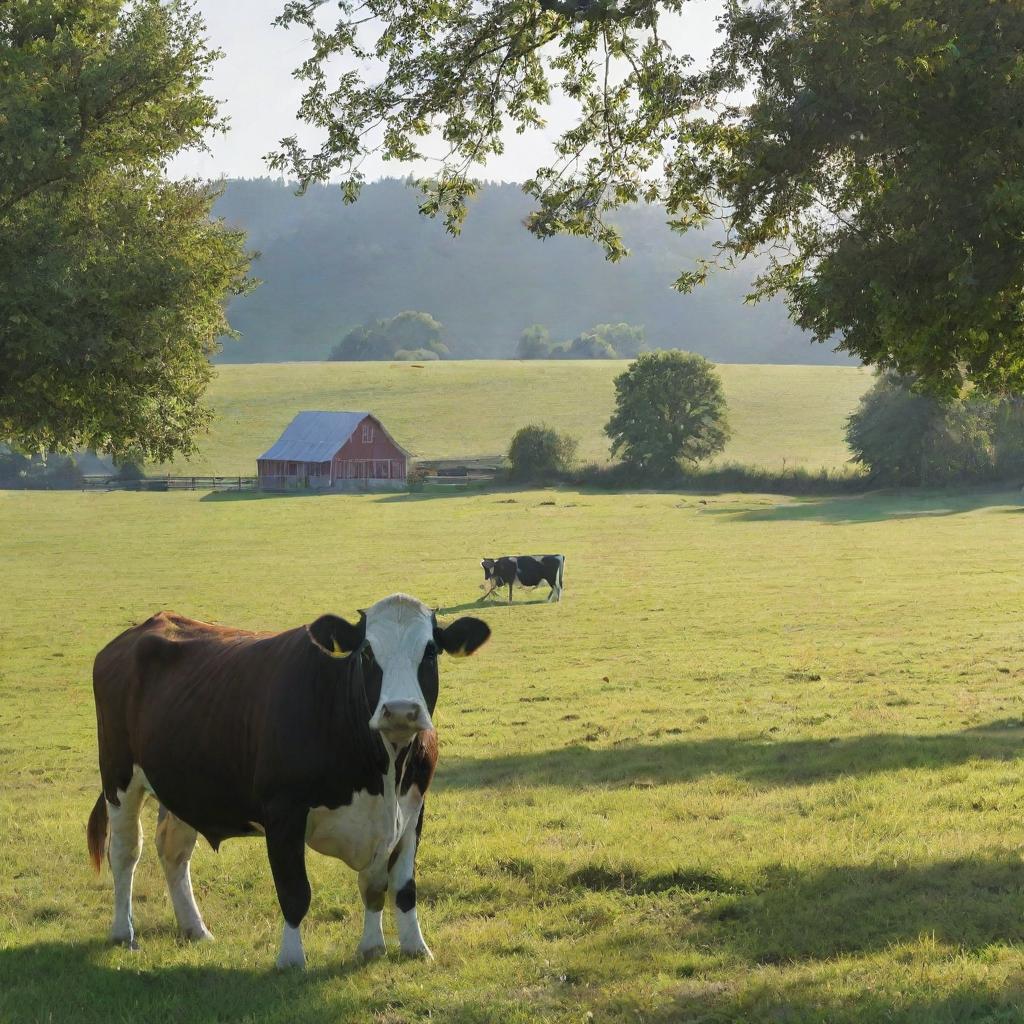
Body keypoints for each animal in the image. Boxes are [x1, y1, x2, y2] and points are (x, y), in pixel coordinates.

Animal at [83, 593, 491, 966]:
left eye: (430, 652)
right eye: (367, 653)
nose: (402, 710)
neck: (383, 771)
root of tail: (142, 628)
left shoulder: (412, 809)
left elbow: (396, 888)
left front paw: (401, 947)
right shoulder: (283, 813)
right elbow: (295, 892)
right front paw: (292, 959)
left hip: (183, 784)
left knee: (173, 851)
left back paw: (195, 929)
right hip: (118, 778)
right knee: (125, 852)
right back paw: (123, 932)